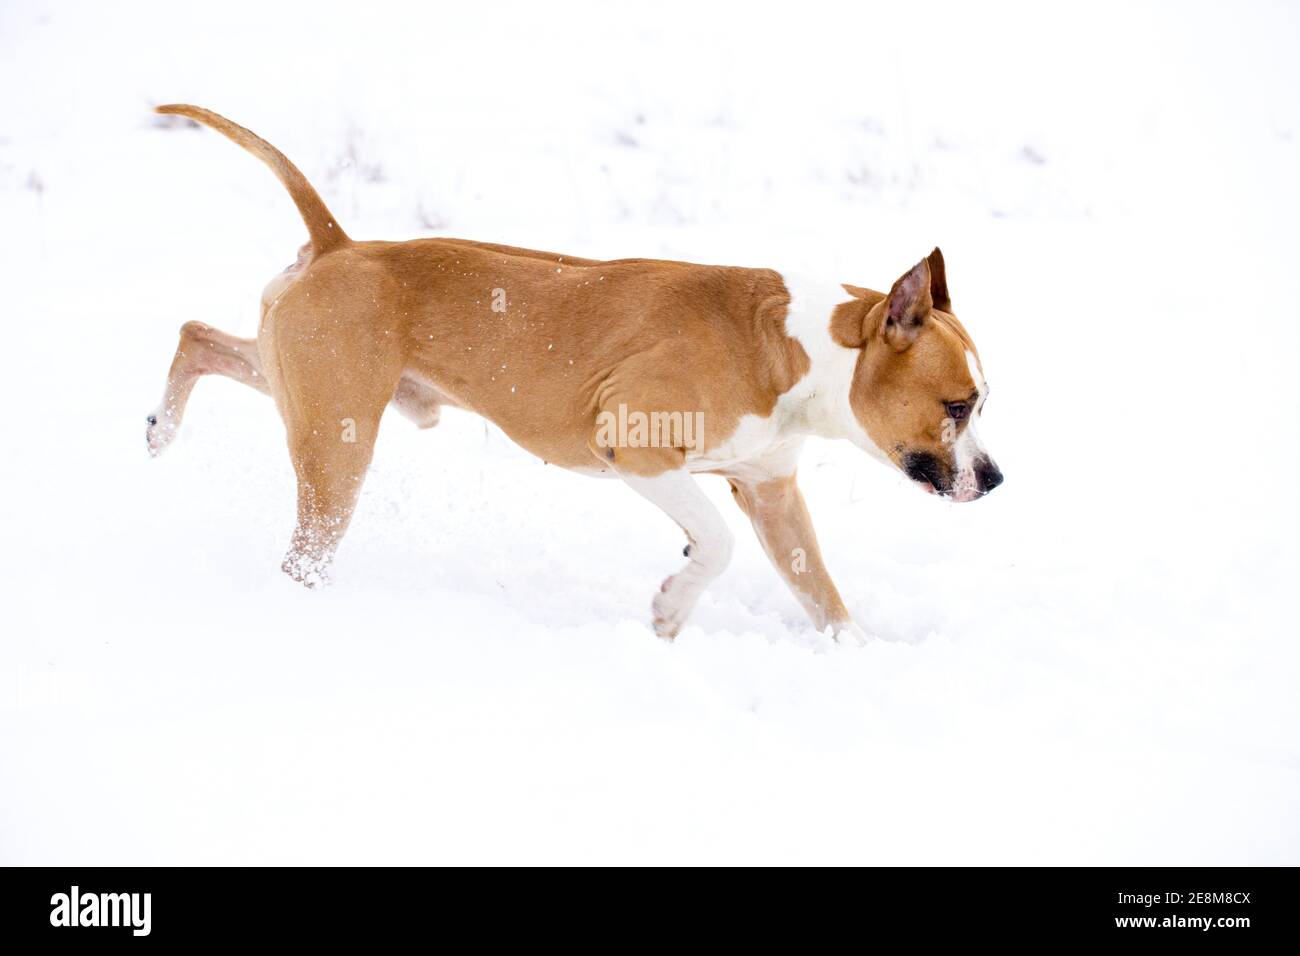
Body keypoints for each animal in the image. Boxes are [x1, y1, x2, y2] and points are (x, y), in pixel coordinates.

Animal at [149, 104, 1003, 642]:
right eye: (958, 405)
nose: (994, 479)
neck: (802, 349)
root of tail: (341, 246)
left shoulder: (772, 493)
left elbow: (823, 596)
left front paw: (856, 658)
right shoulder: (637, 442)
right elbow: (716, 542)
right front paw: (671, 610)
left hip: (296, 375)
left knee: (199, 337)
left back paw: (161, 429)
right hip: (339, 437)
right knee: (306, 548)